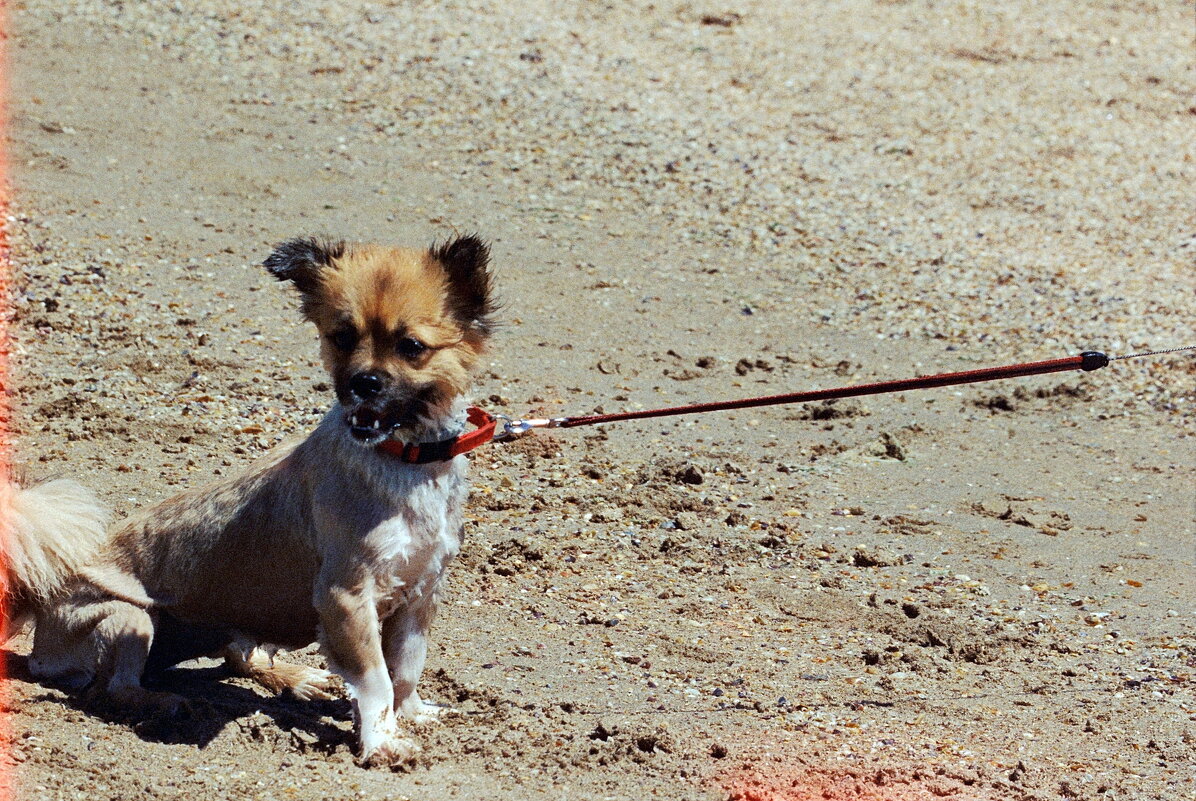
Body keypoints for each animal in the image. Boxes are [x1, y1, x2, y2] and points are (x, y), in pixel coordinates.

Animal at [1, 235, 495, 769]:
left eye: (412, 347)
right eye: (341, 337)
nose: (362, 383)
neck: (406, 460)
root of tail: (42, 599)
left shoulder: (420, 595)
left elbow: (405, 669)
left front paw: (412, 714)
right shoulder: (346, 597)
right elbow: (378, 681)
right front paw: (381, 741)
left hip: (237, 621)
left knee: (241, 656)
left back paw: (294, 679)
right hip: (129, 620)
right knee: (116, 688)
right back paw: (163, 700)